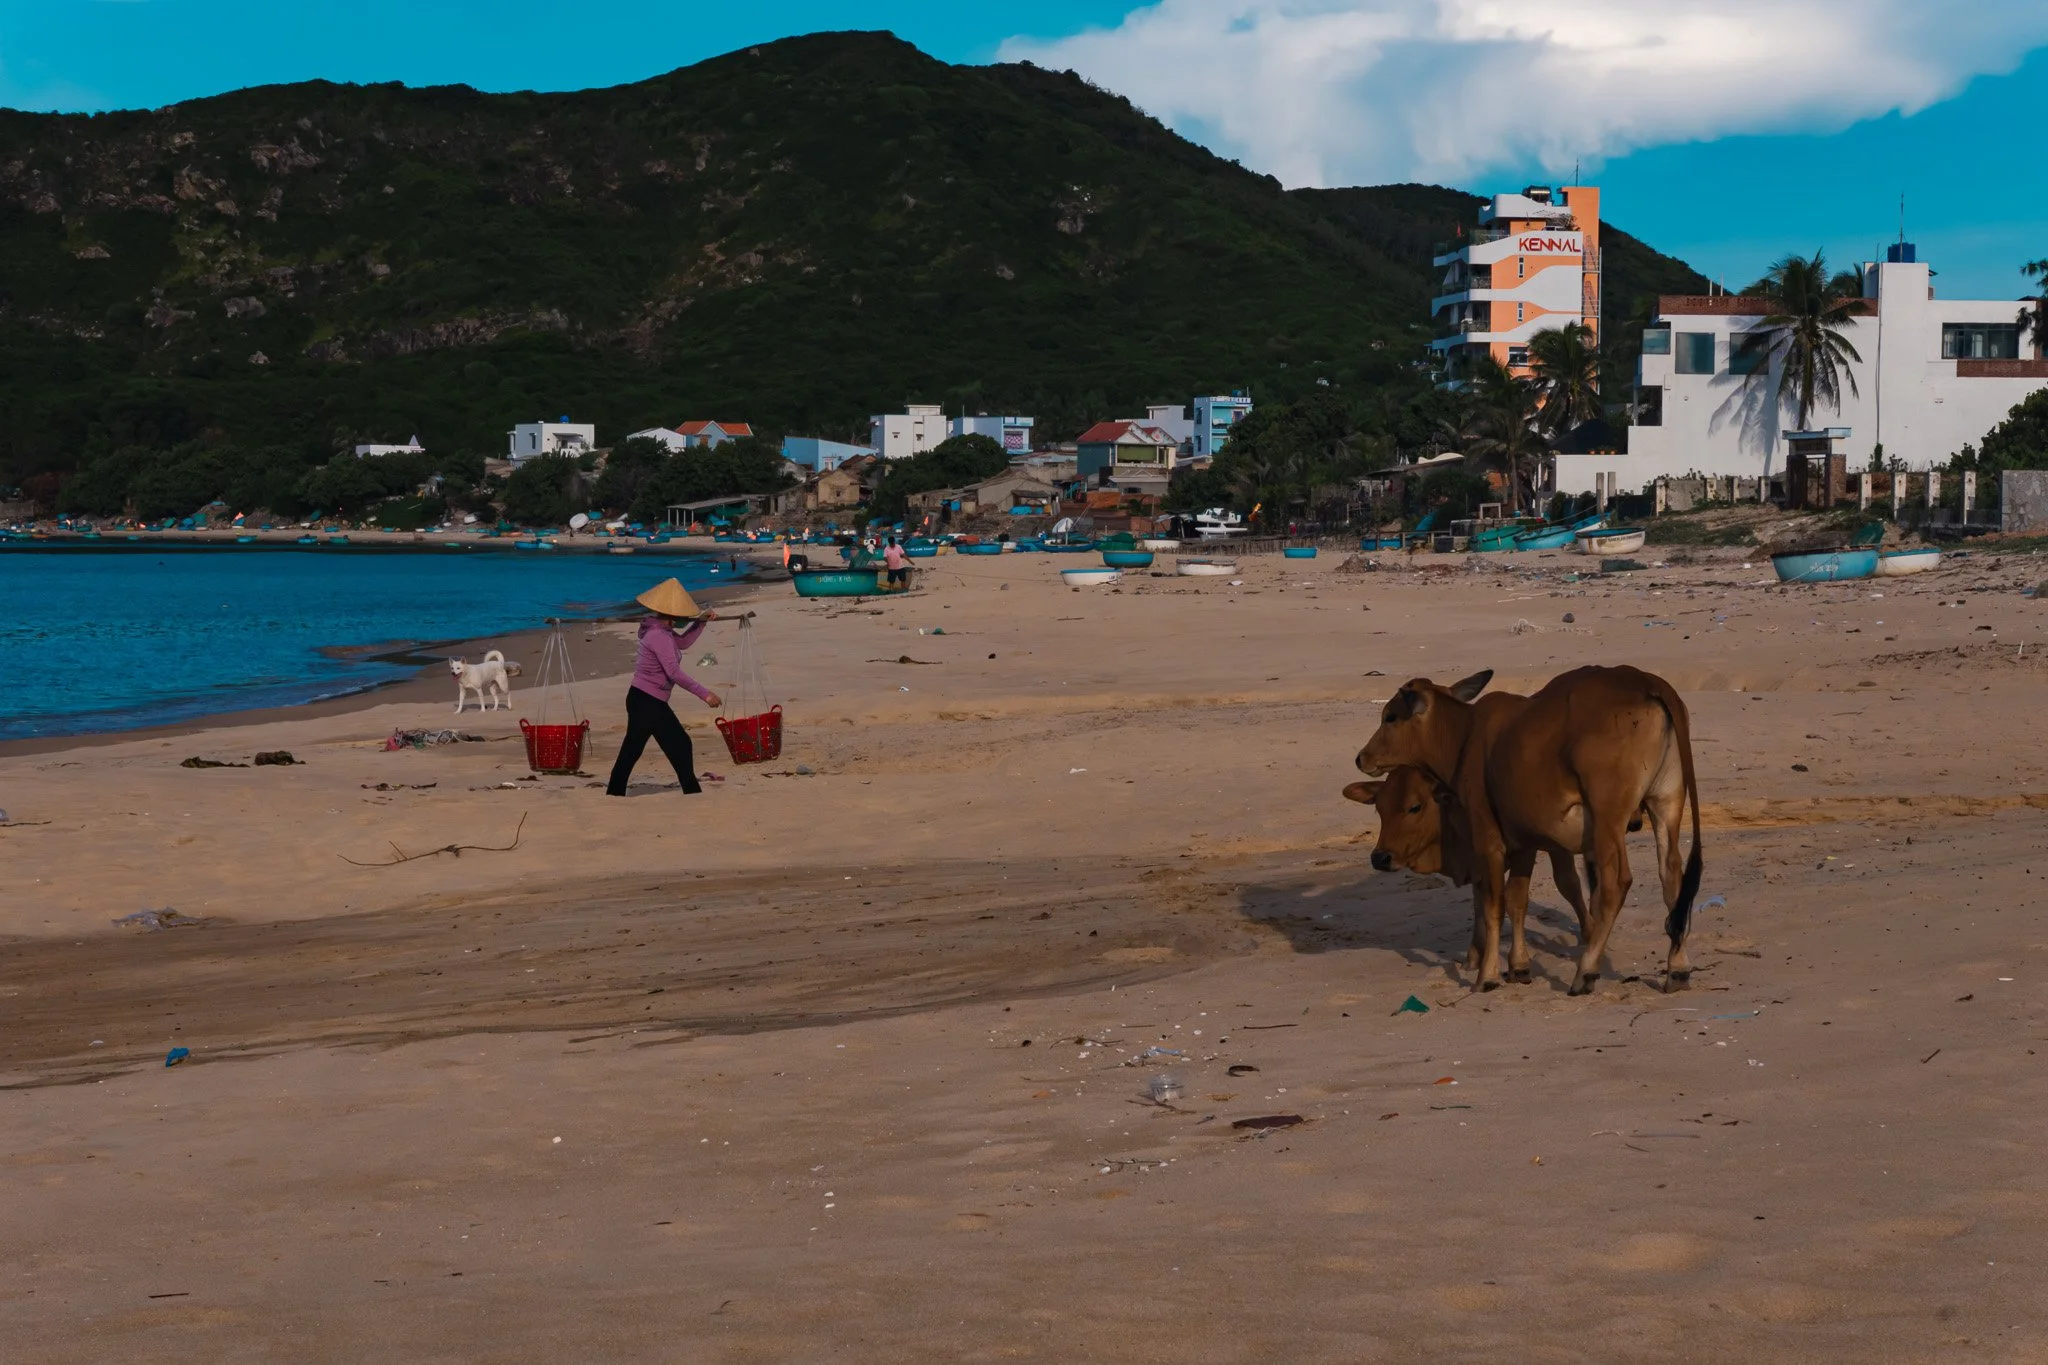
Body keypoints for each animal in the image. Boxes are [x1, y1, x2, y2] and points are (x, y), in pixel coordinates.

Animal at [1344, 766, 1591, 982]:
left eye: (1415, 807)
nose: (1379, 858)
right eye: (1379, 808)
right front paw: (1474, 958)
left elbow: (1536, 894)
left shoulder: (1529, 848)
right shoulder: (1480, 861)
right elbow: (1481, 905)